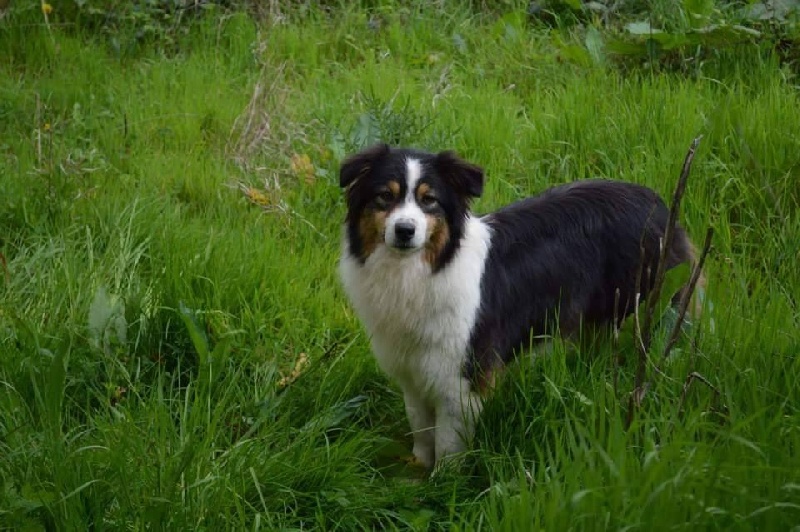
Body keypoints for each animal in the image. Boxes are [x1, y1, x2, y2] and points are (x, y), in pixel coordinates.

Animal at [338, 142, 700, 470]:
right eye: (385, 196)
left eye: (429, 200)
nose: (405, 230)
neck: (420, 269)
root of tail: (658, 204)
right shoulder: (411, 371)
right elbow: (422, 431)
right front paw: (417, 470)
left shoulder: (462, 380)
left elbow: (448, 444)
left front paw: (443, 484)